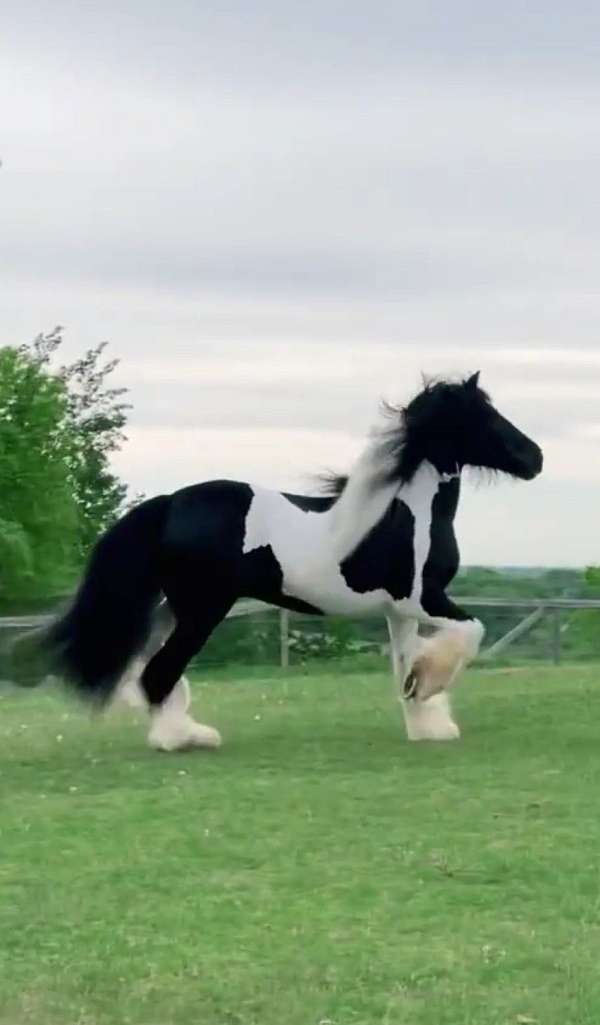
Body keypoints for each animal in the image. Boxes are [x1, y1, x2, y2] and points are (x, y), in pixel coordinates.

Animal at [46, 372, 543, 752]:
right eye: (484, 416)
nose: (534, 458)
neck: (404, 512)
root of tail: (170, 503)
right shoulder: (422, 597)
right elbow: (472, 631)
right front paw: (430, 686)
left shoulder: (399, 611)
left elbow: (405, 663)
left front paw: (426, 722)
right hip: (205, 609)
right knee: (159, 671)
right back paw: (186, 739)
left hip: (175, 607)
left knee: (148, 665)